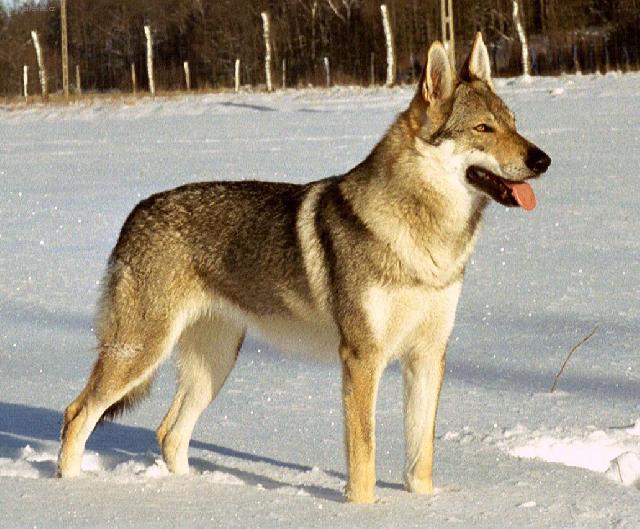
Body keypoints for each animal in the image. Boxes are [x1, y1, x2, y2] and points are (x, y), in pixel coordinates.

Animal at [58, 34, 552, 504]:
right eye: (483, 128)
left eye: (514, 122)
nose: (543, 160)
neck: (427, 241)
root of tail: (136, 212)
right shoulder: (362, 358)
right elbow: (364, 457)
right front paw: (364, 510)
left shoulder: (428, 356)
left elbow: (420, 457)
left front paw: (424, 506)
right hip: (141, 353)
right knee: (77, 414)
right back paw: (68, 487)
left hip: (213, 365)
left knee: (168, 433)